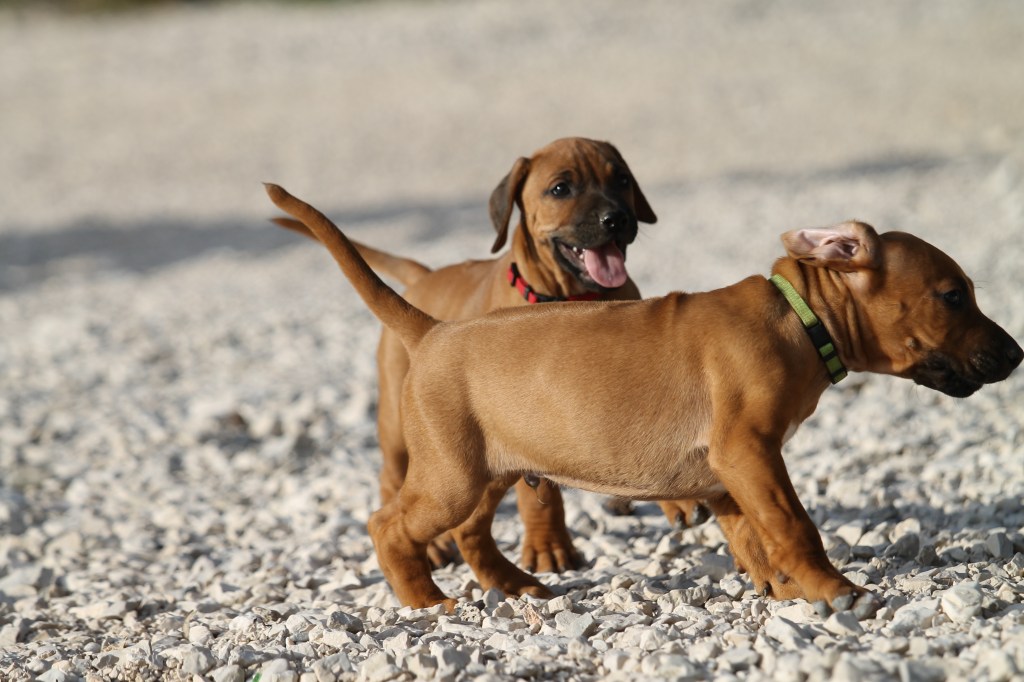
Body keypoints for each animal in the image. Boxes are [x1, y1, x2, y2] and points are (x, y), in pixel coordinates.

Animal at [265, 182, 1023, 615]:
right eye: (953, 296)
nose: (1017, 355)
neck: (797, 317)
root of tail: (432, 327)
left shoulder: (725, 474)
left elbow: (754, 537)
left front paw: (784, 590)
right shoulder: (748, 453)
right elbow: (793, 525)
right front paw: (835, 591)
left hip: (488, 470)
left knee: (473, 533)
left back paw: (513, 586)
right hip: (451, 475)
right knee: (388, 525)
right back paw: (424, 598)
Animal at [273, 138, 704, 573]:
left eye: (622, 180)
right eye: (561, 189)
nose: (615, 219)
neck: (573, 297)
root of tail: (424, 279)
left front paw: (679, 497)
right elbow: (540, 498)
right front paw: (549, 548)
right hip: (398, 425)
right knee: (392, 480)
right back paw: (431, 546)